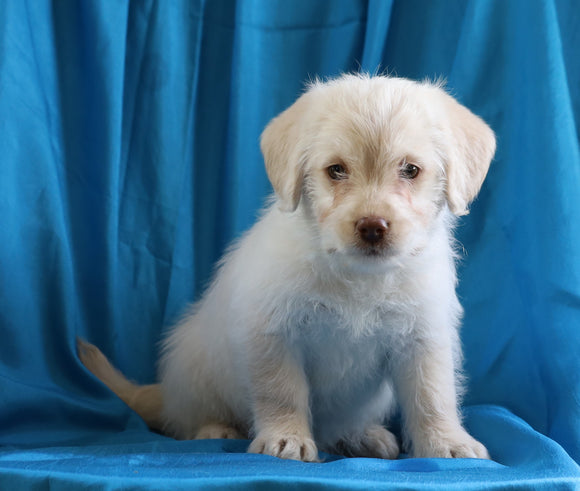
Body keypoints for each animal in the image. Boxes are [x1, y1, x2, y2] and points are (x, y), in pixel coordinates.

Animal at [79, 73, 496, 462]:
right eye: (336, 170)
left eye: (410, 170)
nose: (372, 227)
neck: (357, 276)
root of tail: (166, 393)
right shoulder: (274, 334)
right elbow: (282, 393)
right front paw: (286, 438)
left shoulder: (423, 338)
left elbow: (433, 395)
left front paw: (447, 442)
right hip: (196, 371)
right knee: (189, 418)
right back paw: (215, 429)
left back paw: (360, 435)